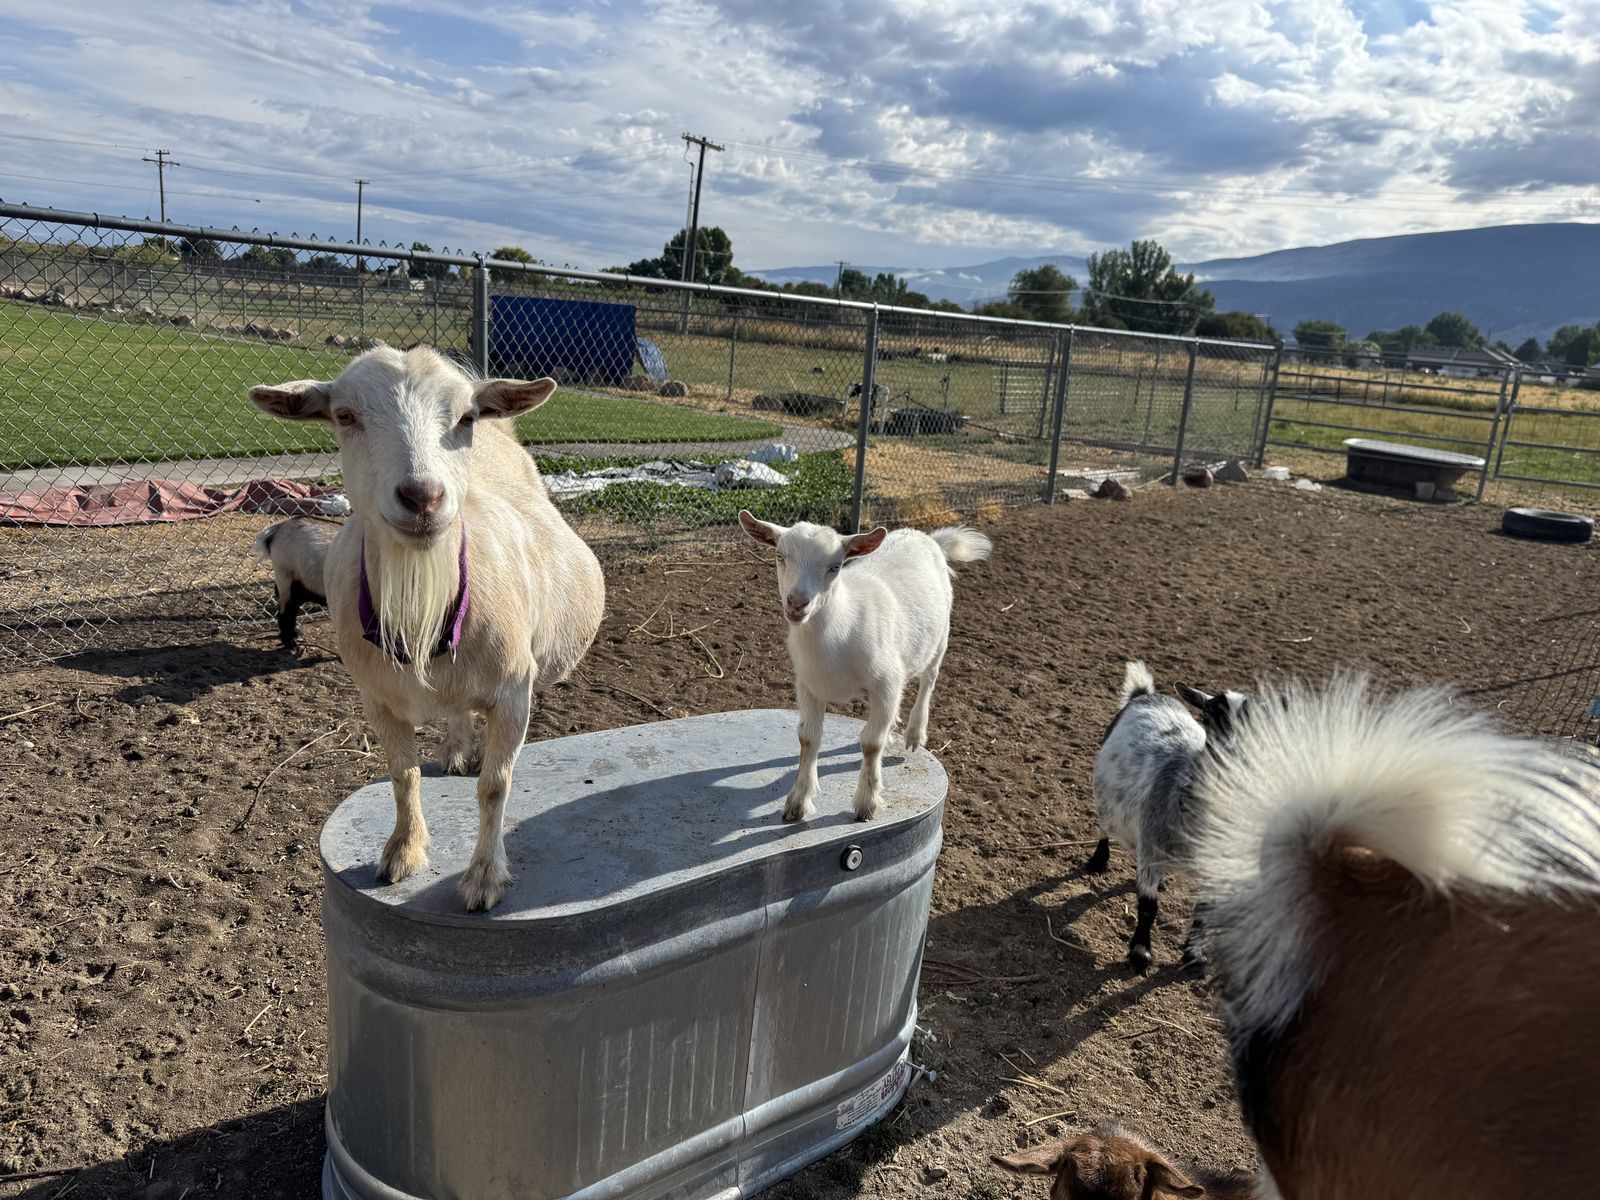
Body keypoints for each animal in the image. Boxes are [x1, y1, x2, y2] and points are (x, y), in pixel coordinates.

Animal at [737, 512, 990, 822]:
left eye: (835, 566)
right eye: (779, 555)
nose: (797, 603)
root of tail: (927, 538)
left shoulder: (885, 685)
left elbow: (871, 745)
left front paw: (866, 804)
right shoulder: (808, 686)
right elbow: (808, 739)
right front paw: (797, 802)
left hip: (940, 639)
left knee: (928, 680)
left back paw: (914, 733)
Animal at [1087, 661, 1246, 973]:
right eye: (1209, 714)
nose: (1230, 753)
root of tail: (1146, 695)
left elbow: (1202, 912)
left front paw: (1195, 956)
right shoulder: (1152, 847)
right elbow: (1148, 908)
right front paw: (1140, 953)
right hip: (1105, 800)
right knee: (1104, 827)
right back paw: (1098, 861)